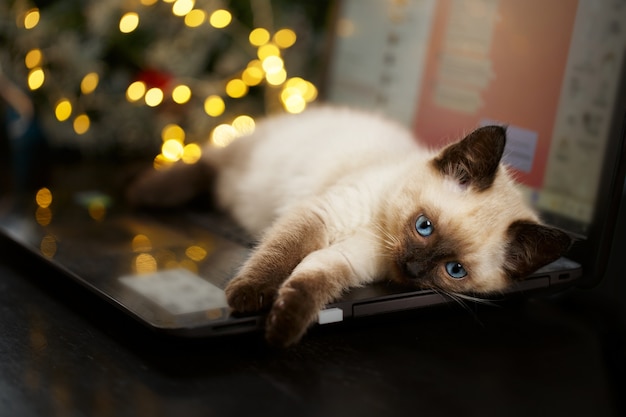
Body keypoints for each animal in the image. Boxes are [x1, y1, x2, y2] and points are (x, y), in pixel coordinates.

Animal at [127, 105, 572, 346]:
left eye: (455, 270)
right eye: (423, 226)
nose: (412, 269)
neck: (379, 229)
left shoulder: (349, 260)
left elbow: (311, 282)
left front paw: (282, 328)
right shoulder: (322, 215)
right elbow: (279, 255)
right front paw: (248, 298)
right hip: (243, 154)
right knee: (205, 162)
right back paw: (144, 193)